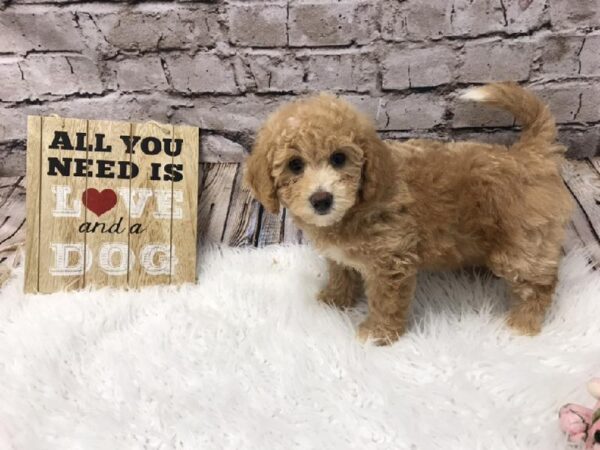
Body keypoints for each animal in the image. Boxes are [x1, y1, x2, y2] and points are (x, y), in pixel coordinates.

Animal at [244, 82, 572, 344]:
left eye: (339, 159)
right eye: (295, 165)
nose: (321, 199)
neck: (356, 207)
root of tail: (528, 152)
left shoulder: (391, 261)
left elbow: (385, 301)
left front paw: (377, 334)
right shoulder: (342, 256)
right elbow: (341, 272)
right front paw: (335, 299)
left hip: (522, 243)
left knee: (539, 284)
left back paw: (522, 324)